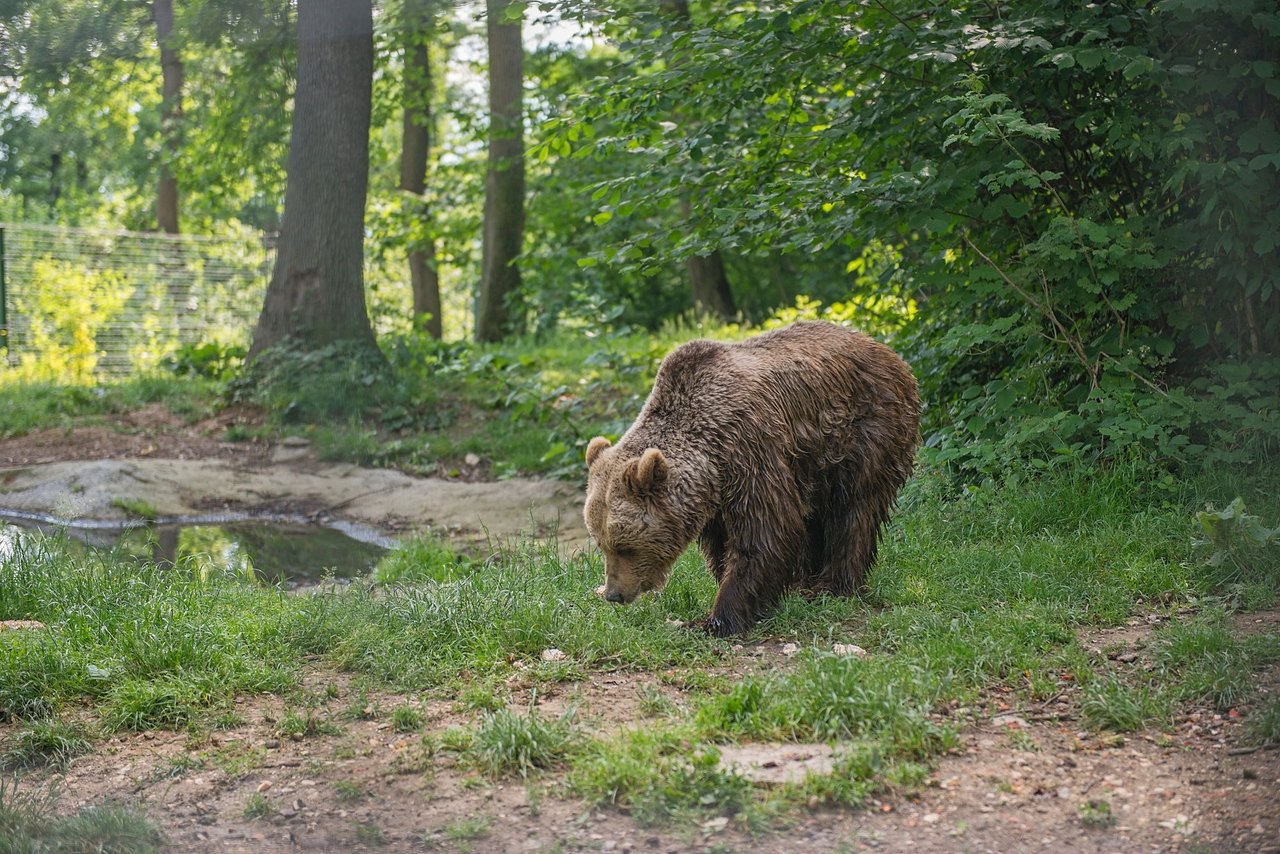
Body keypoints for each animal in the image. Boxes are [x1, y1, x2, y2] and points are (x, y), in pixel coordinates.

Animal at [581, 320, 921, 635]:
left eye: (625, 546)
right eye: (601, 543)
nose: (614, 594)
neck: (711, 459)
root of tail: (884, 349)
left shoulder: (750, 450)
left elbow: (765, 532)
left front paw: (716, 619)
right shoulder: (715, 498)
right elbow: (724, 545)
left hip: (864, 430)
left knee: (852, 509)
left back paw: (833, 585)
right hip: (813, 463)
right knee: (815, 518)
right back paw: (803, 582)